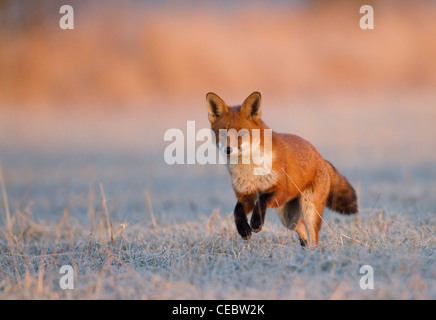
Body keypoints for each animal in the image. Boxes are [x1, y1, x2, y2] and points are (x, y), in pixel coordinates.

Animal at [205, 91, 358, 246]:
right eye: (222, 133)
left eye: (241, 134)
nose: (228, 150)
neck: (250, 169)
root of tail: (320, 157)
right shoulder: (246, 194)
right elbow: (237, 212)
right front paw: (243, 229)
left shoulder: (281, 190)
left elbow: (262, 200)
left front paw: (256, 222)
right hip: (288, 218)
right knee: (301, 228)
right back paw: (303, 249)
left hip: (309, 210)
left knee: (313, 235)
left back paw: (313, 251)